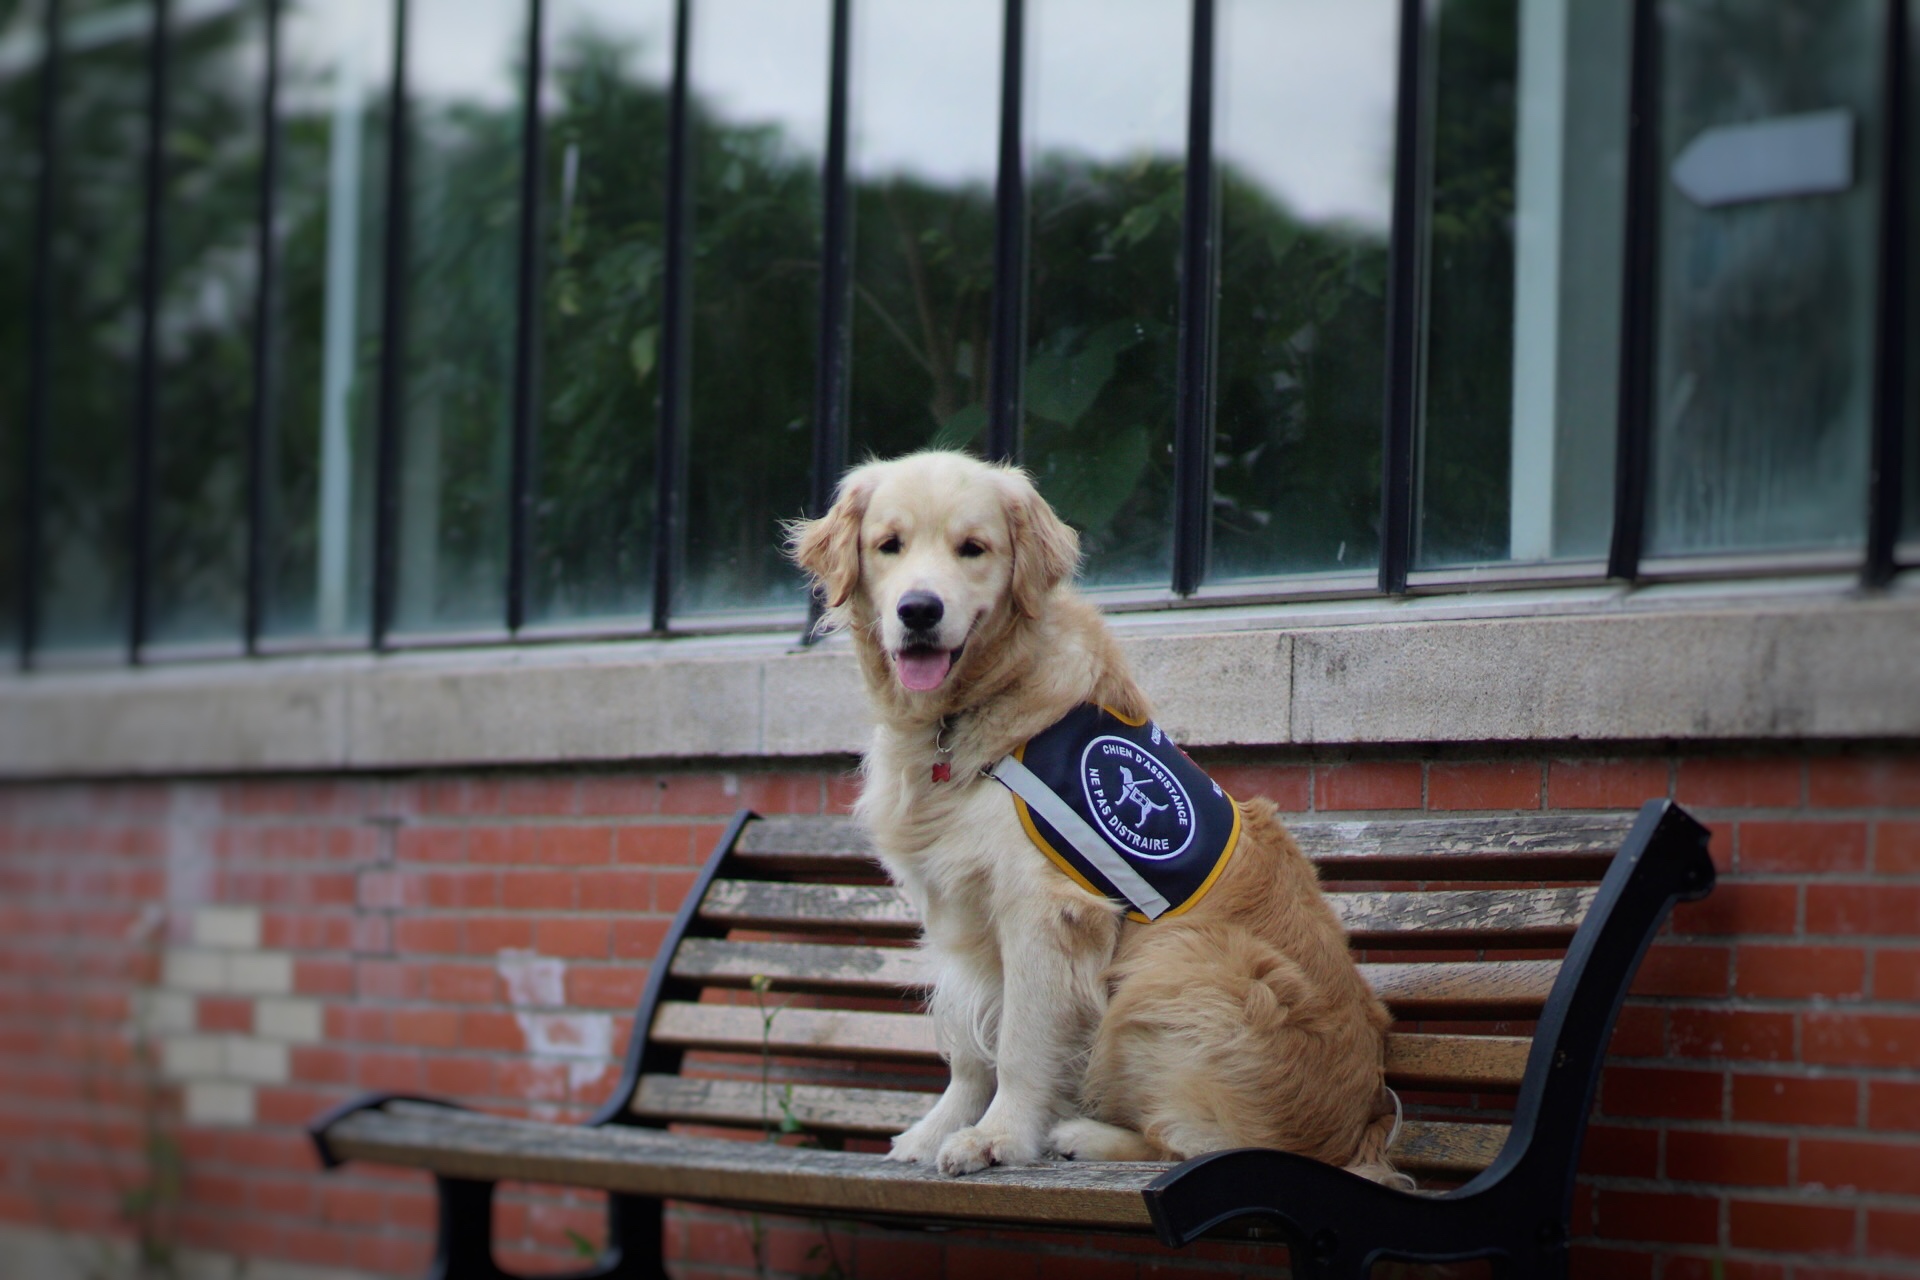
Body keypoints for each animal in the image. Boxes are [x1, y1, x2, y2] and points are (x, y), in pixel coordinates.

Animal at [779, 449, 1397, 1182]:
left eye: (972, 548)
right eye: (889, 545)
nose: (919, 610)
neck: (964, 717)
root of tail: (1361, 1130)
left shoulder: (1048, 910)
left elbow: (1018, 1043)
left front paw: (998, 1138)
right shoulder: (958, 909)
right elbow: (967, 1040)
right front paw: (936, 1131)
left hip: (1177, 968)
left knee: (1209, 1144)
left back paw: (1085, 1136)